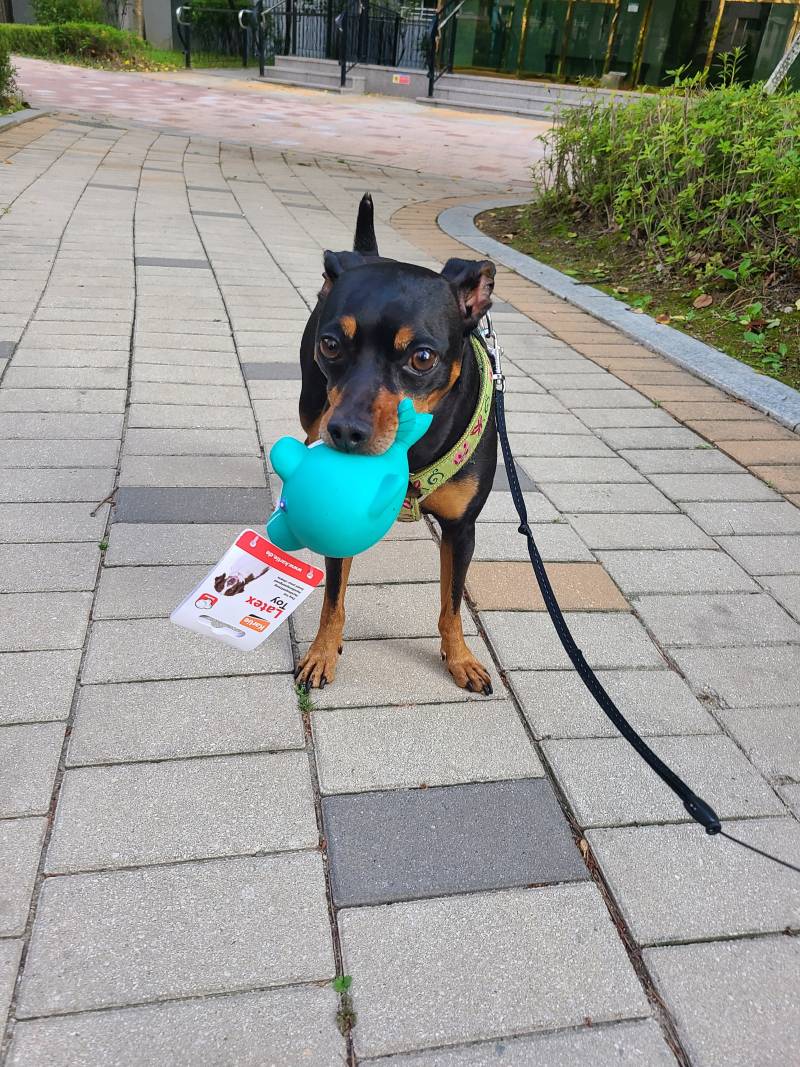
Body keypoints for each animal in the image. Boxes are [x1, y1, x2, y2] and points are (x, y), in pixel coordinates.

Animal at [296, 196, 494, 695]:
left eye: (422, 357)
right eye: (331, 344)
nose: (346, 432)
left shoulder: (462, 530)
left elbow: (451, 606)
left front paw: (460, 659)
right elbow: (333, 602)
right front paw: (322, 653)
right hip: (311, 405)